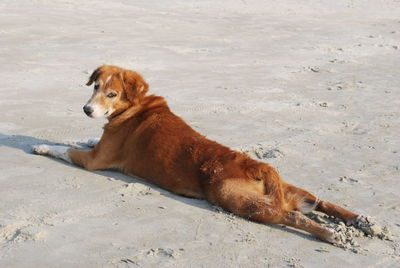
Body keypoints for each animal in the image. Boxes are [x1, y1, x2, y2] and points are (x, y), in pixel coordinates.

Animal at [33, 64, 360, 243]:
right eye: (95, 86)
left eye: (111, 94)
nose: (86, 109)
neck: (135, 106)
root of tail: (257, 167)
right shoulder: (99, 149)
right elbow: (88, 139)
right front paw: (85, 134)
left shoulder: (94, 161)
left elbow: (66, 150)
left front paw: (42, 146)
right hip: (287, 190)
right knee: (319, 201)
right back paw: (357, 219)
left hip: (239, 202)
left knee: (291, 216)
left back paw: (330, 234)